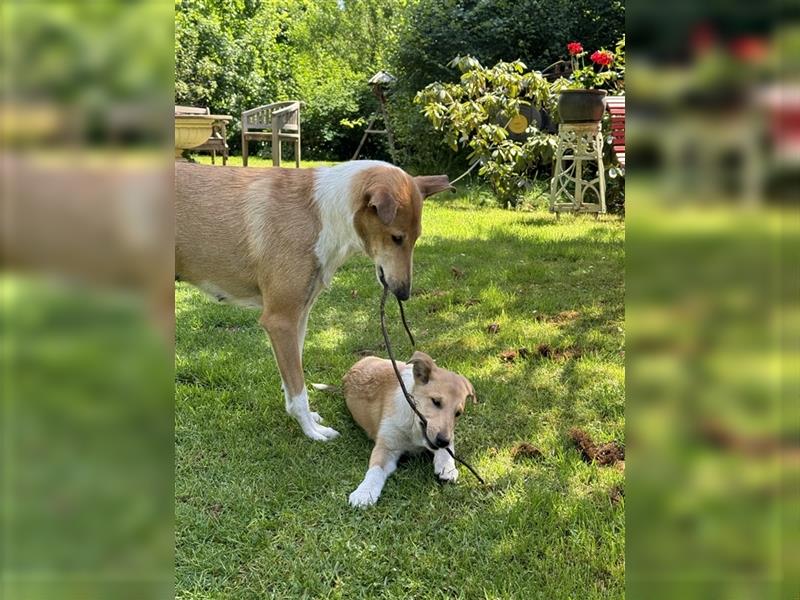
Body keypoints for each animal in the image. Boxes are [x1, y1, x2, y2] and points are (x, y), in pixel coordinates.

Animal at [175, 159, 450, 440]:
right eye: (396, 237)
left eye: (416, 237)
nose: (404, 293)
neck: (323, 214)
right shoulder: (280, 320)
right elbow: (299, 389)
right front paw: (312, 431)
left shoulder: (299, 317)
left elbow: (292, 380)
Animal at [342, 352, 476, 506]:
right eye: (436, 402)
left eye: (458, 413)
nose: (443, 441)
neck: (413, 428)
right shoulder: (386, 447)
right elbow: (375, 470)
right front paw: (365, 493)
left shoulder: (448, 434)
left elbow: (448, 450)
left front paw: (447, 468)